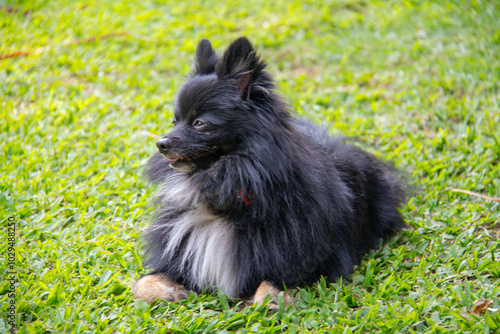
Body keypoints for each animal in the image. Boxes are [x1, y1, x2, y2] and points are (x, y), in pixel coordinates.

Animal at [134, 36, 406, 306]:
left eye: (199, 123)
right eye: (174, 121)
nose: (161, 144)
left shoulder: (312, 261)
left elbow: (271, 285)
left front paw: (270, 301)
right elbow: (141, 283)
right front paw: (169, 291)